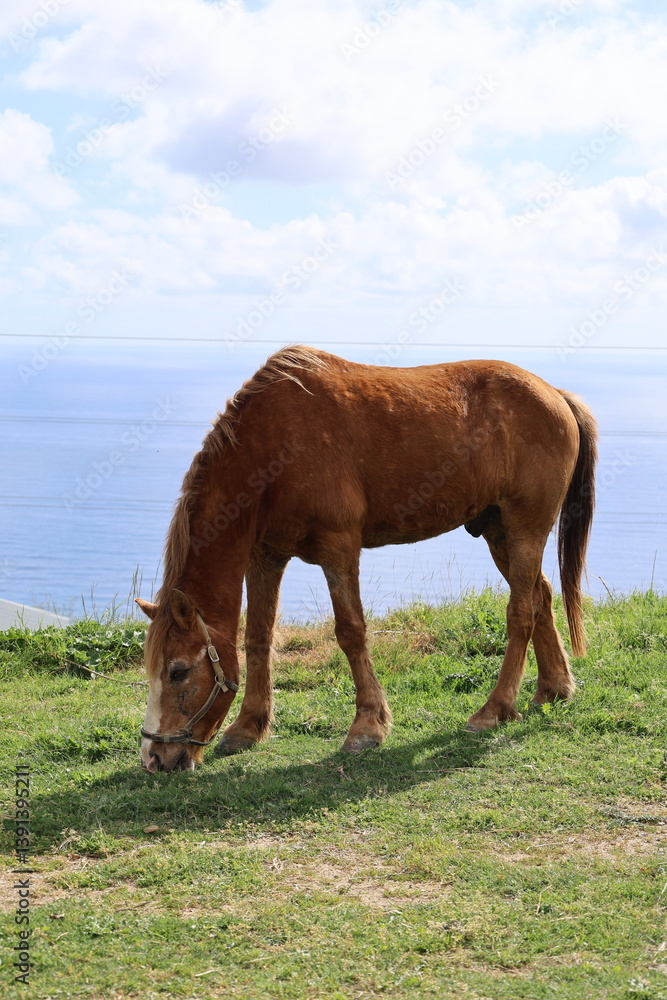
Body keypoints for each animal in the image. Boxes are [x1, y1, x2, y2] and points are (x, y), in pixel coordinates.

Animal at [137, 345, 597, 772]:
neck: (272, 446)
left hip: (525, 528)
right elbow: (257, 637)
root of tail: (556, 395)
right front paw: (248, 726)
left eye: (178, 671)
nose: (154, 757)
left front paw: (366, 728)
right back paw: (553, 688)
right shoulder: (265, 556)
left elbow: (351, 633)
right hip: (498, 531)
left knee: (520, 612)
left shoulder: (338, 549)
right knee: (540, 596)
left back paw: (494, 710)